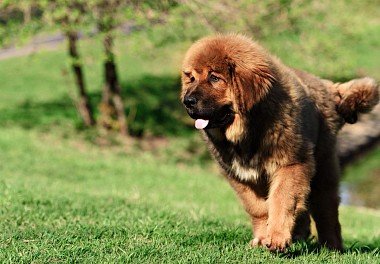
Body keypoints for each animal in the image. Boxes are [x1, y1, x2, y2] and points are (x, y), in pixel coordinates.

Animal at [180, 33, 378, 252]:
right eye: (191, 78)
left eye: (214, 78)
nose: (187, 101)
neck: (249, 131)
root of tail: (326, 86)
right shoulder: (239, 176)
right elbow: (258, 208)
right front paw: (261, 238)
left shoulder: (291, 165)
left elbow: (281, 201)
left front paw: (276, 238)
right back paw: (300, 235)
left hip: (323, 170)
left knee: (327, 211)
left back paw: (331, 247)